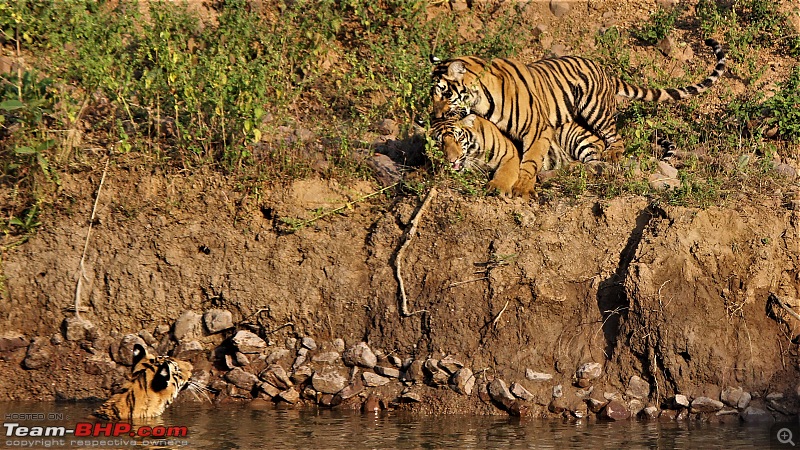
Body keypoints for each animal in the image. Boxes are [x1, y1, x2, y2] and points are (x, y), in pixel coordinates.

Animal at [432, 36, 724, 195]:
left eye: (443, 92)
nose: (434, 115)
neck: (481, 99)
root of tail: (606, 71)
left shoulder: (537, 129)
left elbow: (529, 160)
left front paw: (522, 188)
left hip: (593, 112)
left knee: (607, 148)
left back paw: (605, 156)